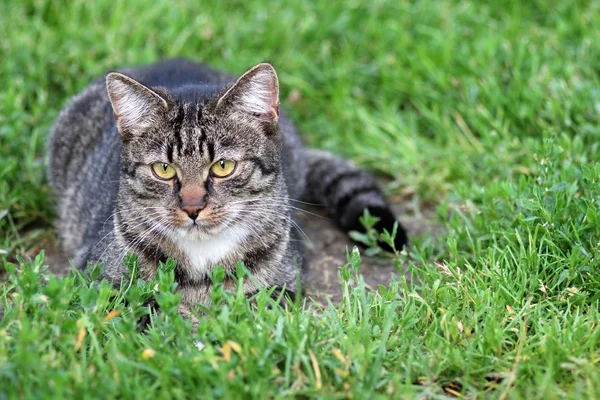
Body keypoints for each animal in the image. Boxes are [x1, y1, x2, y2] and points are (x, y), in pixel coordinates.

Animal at [48, 59, 408, 308]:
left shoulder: (285, 281)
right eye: (164, 169)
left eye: (223, 166)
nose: (192, 207)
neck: (202, 260)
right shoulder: (96, 276)